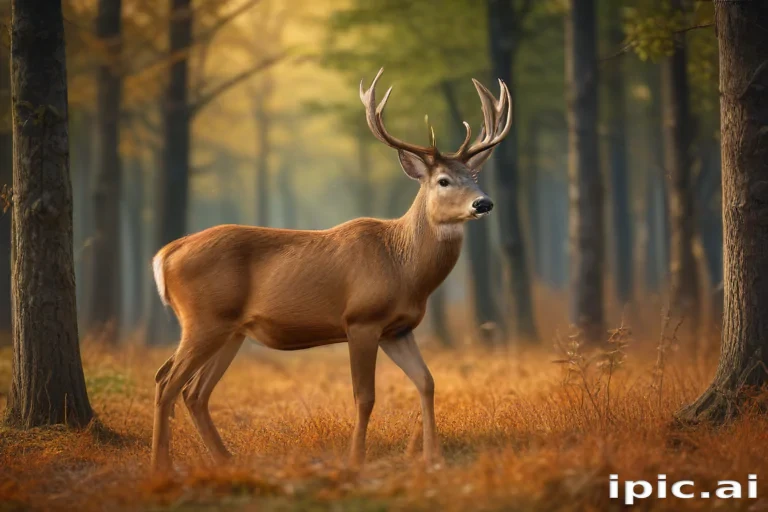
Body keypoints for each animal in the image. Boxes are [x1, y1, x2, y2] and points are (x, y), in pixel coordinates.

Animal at [150, 68, 512, 473]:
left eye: (475, 178)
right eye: (443, 180)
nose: (484, 203)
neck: (402, 266)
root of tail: (165, 254)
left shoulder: (398, 329)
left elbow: (427, 382)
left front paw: (432, 457)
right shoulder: (361, 320)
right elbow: (364, 396)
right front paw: (356, 460)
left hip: (230, 330)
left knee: (193, 391)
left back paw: (226, 460)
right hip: (203, 319)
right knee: (167, 382)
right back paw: (161, 466)